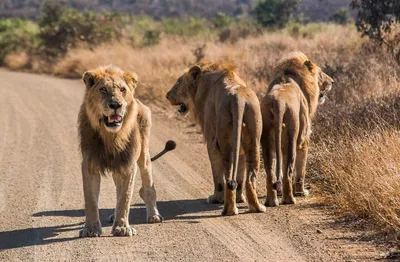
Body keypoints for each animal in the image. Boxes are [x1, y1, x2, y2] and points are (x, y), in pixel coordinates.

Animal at [78, 65, 175, 237]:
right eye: (103, 89)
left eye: (122, 90)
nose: (116, 105)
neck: (110, 135)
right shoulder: (90, 165)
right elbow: (90, 200)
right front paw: (90, 229)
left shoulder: (128, 165)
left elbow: (125, 198)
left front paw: (122, 228)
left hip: (143, 155)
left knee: (148, 187)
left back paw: (154, 216)